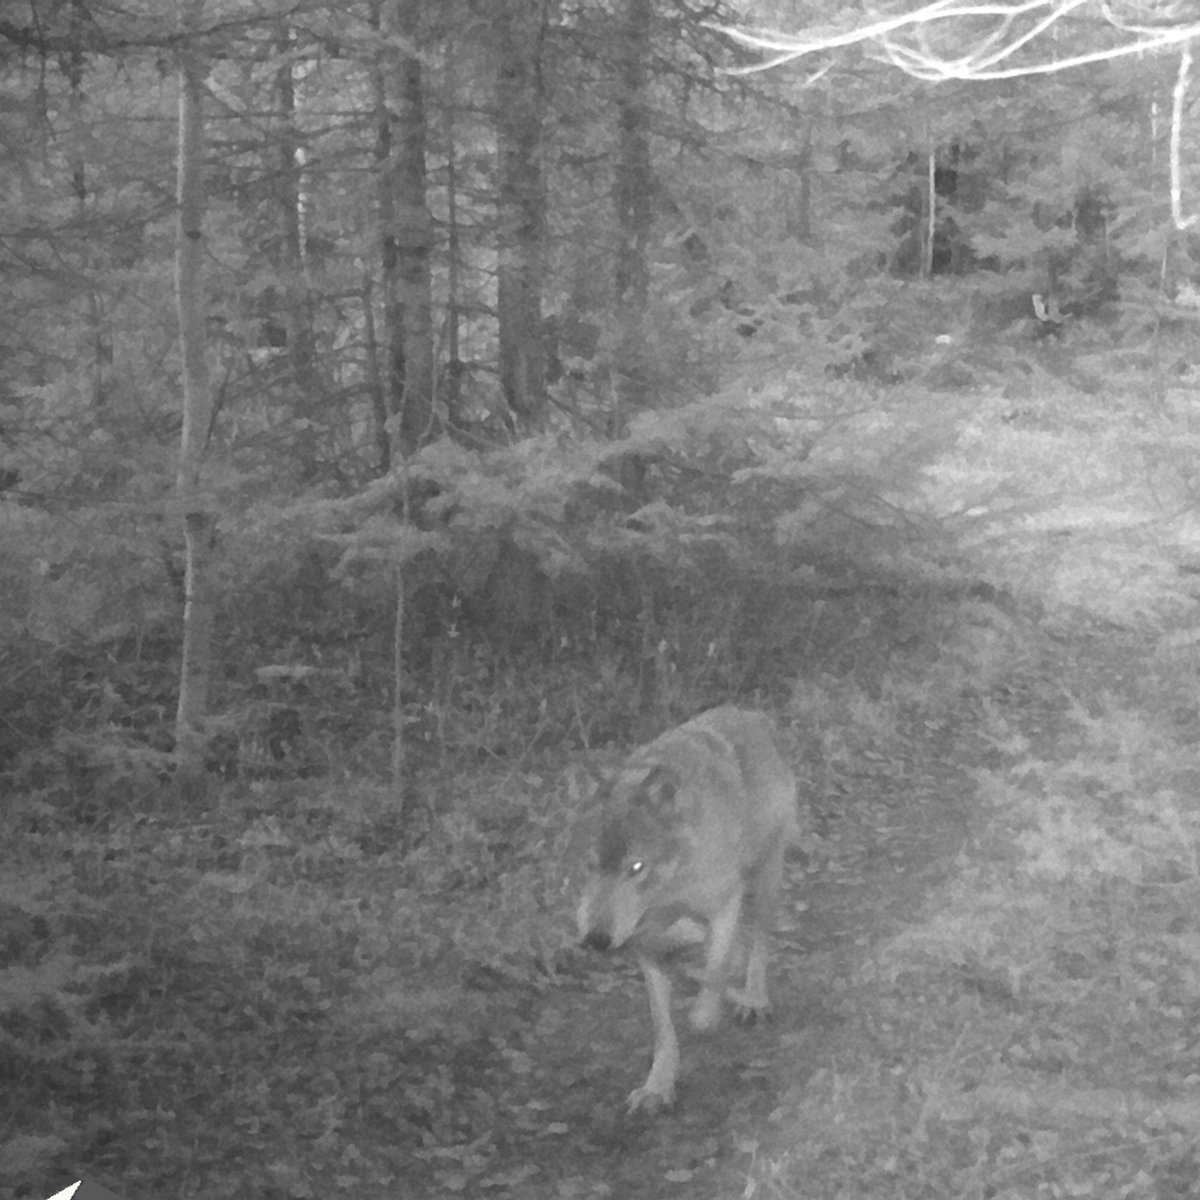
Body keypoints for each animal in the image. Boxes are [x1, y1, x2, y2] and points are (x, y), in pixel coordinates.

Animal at [576, 706, 803, 1113]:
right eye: (590, 865)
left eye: (636, 867)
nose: (596, 940)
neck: (667, 893)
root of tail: (751, 714)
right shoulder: (644, 945)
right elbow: (662, 1027)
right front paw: (657, 1087)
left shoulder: (725, 903)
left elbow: (716, 972)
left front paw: (707, 1013)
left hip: (766, 877)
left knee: (758, 941)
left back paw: (753, 999)